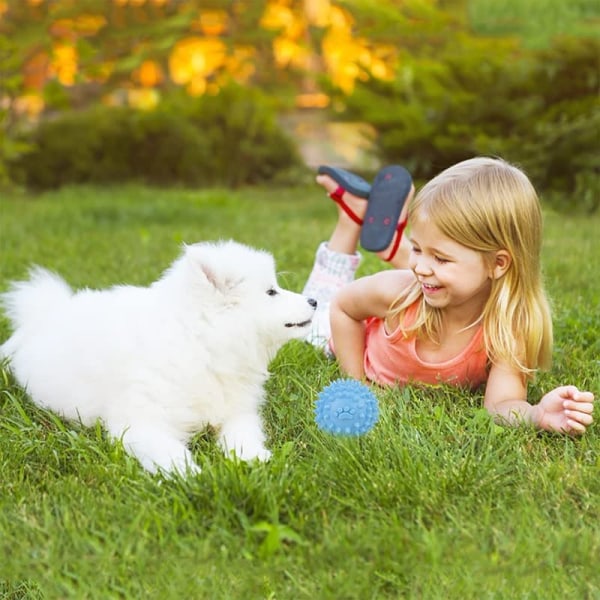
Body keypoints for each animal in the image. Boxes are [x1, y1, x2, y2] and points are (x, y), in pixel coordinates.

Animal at [1, 241, 318, 476]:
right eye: (271, 292)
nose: (314, 301)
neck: (199, 343)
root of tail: (46, 313)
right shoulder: (140, 422)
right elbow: (169, 450)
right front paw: (190, 475)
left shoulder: (236, 410)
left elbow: (243, 433)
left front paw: (253, 458)